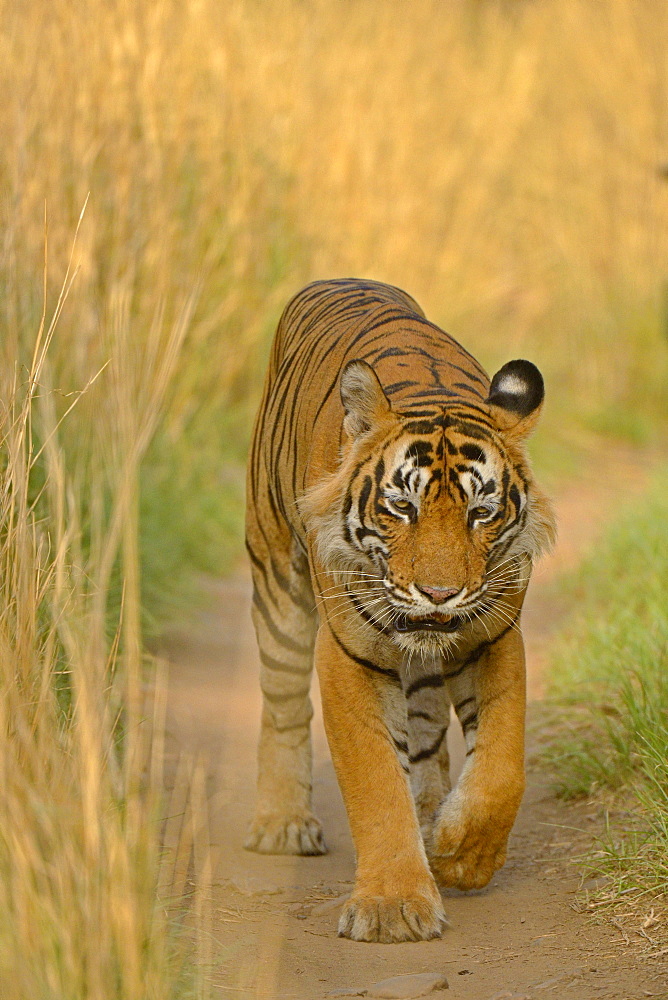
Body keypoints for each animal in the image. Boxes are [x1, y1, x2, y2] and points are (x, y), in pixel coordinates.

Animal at [243, 278, 556, 940]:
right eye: (401, 507)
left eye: (481, 513)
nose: (439, 594)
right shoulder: (348, 653)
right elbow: (375, 779)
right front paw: (392, 907)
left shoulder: (494, 635)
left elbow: (502, 767)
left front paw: (462, 853)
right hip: (275, 572)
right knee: (282, 701)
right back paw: (282, 825)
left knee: (429, 731)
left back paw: (433, 812)